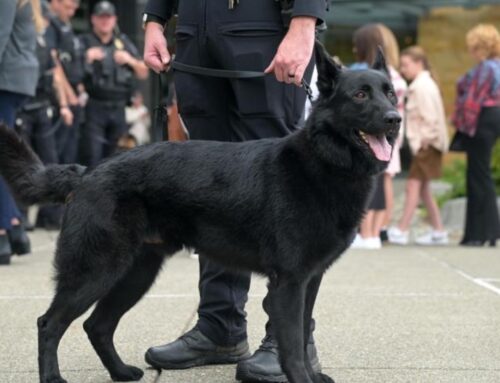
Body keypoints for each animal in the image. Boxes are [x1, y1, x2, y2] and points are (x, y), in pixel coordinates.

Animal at [0, 42, 400, 383]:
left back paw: (120, 372)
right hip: (96, 271)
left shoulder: (309, 280)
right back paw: (54, 377)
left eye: (391, 93)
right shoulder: (289, 283)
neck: (323, 160)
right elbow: (291, 346)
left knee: (96, 325)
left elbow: (302, 335)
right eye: (360, 95)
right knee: (50, 324)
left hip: (134, 274)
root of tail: (87, 172)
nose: (395, 119)